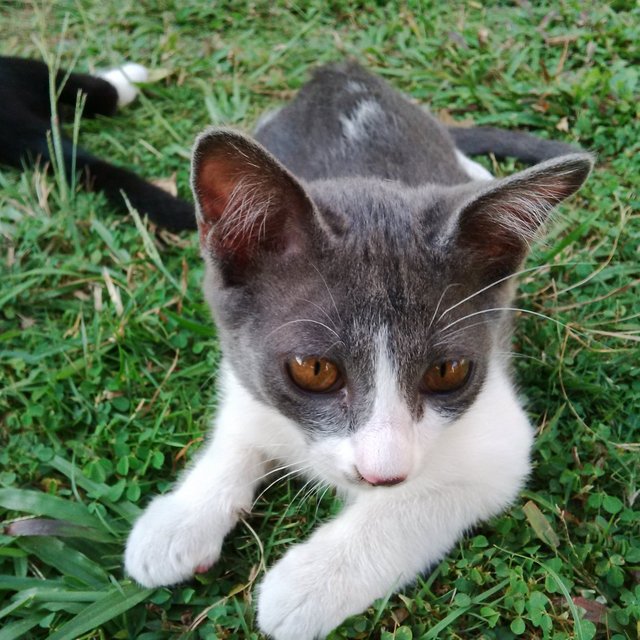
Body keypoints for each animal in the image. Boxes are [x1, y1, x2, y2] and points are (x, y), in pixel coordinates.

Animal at [125, 61, 596, 640]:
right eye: (314, 369)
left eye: (448, 371)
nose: (382, 474)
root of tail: (338, 73)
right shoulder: (240, 357)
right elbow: (243, 420)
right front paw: (182, 517)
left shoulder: (500, 438)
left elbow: (425, 498)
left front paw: (310, 580)